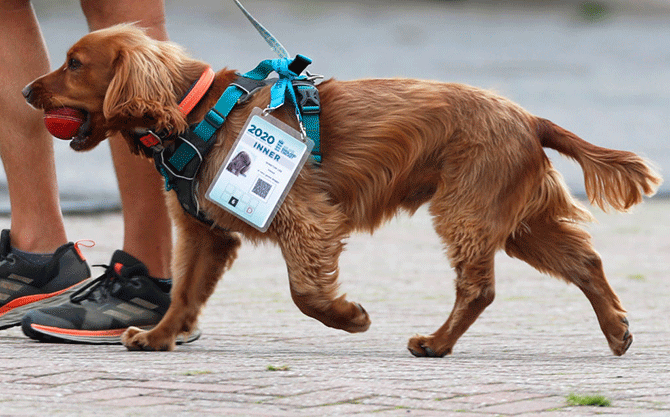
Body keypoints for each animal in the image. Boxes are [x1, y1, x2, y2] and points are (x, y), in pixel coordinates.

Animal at [25, 25, 660, 354]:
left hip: (467, 211)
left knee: (480, 289)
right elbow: (183, 294)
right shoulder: (204, 232)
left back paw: (436, 343)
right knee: (586, 263)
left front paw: (349, 317)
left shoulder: (303, 217)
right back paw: (617, 330)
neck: (198, 112)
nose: (28, 90)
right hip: (515, 221)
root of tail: (530, 117)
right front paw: (159, 337)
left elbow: (305, 292)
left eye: (74, 63)